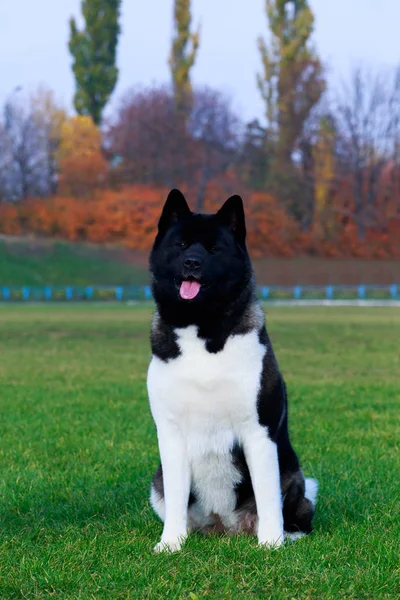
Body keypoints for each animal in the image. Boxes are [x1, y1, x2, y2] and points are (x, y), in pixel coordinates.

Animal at [145, 190, 318, 552]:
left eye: (214, 249)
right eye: (182, 245)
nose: (192, 263)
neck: (202, 328)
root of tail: (225, 525)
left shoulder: (258, 432)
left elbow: (268, 498)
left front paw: (271, 544)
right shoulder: (170, 434)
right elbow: (177, 497)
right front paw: (171, 544)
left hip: (293, 475)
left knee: (296, 507)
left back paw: (289, 534)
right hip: (157, 480)